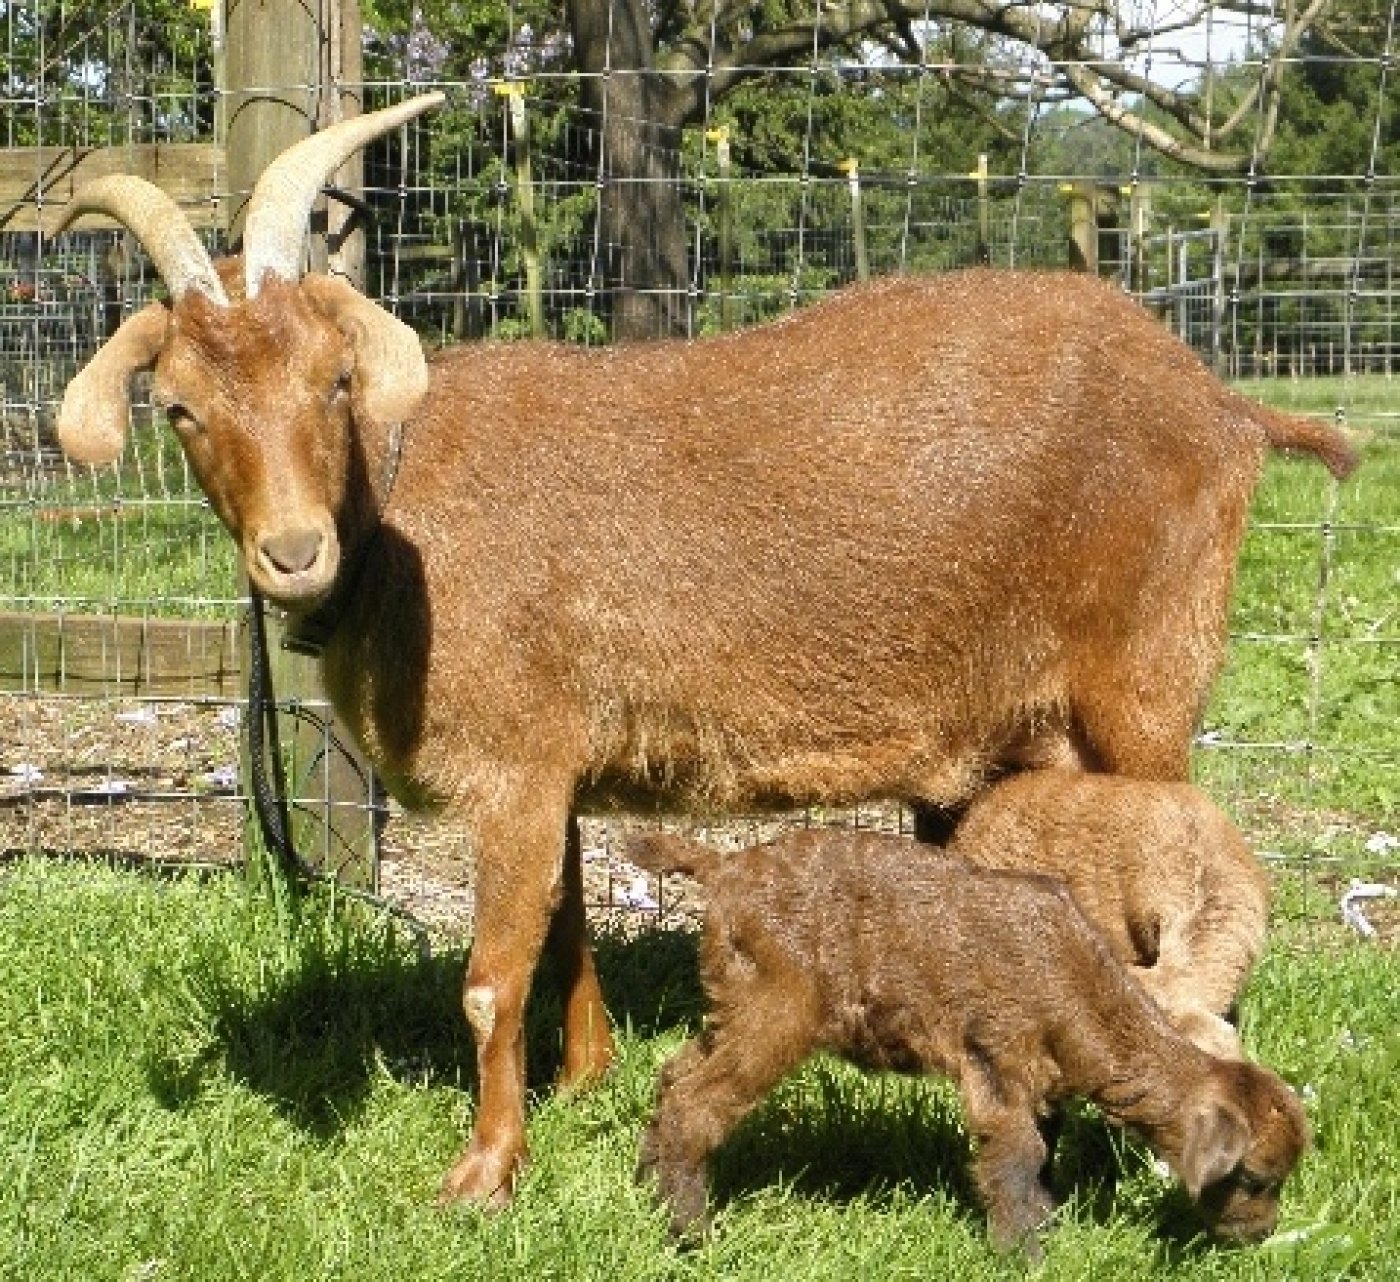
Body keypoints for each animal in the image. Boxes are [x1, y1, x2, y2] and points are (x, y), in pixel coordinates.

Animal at [57, 95, 1355, 1209]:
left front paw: (482, 1172)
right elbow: (566, 927)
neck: (396, 511)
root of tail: (1223, 405)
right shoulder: (556, 756)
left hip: (1144, 676)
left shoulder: (511, 762)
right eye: (179, 407)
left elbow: (488, 978)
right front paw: (582, 1081)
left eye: (333, 380)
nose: (292, 551)